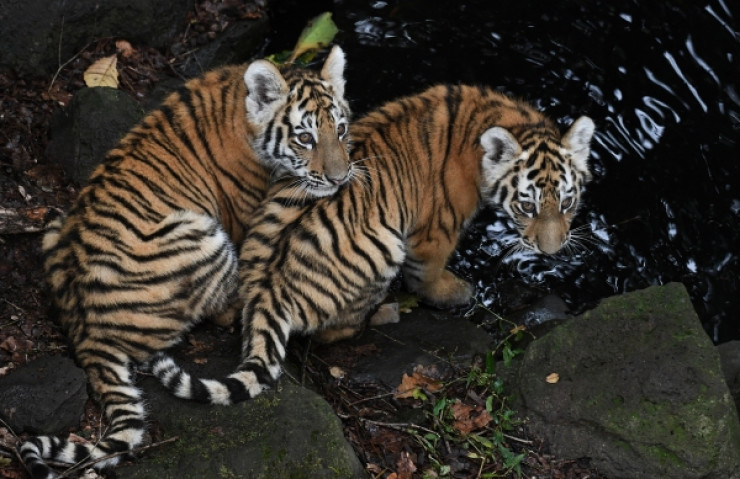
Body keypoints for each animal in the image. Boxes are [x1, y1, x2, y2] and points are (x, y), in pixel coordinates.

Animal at [20, 46, 352, 479]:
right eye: (305, 137)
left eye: (341, 131)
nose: (340, 179)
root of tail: (85, 331)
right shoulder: (248, 218)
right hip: (200, 230)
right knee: (223, 309)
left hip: (56, 225)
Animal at [148, 84, 595, 406]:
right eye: (527, 205)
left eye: (566, 202)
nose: (551, 252)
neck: (492, 117)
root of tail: (265, 293)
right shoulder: (434, 232)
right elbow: (429, 275)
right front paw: (457, 293)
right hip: (383, 247)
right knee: (331, 333)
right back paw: (385, 312)